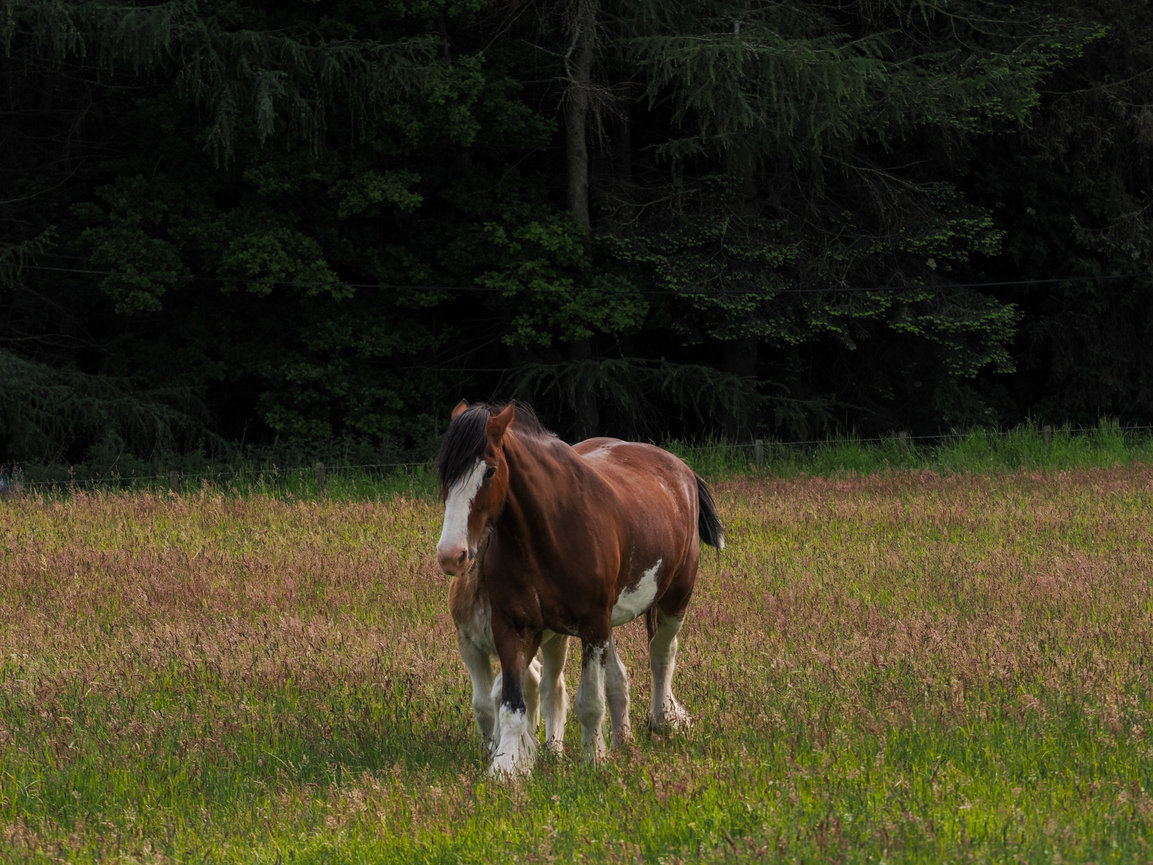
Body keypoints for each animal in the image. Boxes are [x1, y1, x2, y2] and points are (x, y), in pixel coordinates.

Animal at [435, 400, 725, 777]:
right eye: (443, 473)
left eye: (489, 471)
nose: (451, 555)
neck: (548, 534)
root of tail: (681, 468)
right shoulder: (513, 626)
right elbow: (511, 703)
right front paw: (508, 766)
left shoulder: (592, 625)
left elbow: (589, 701)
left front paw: (593, 761)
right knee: (618, 678)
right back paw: (622, 739)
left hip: (674, 598)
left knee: (662, 653)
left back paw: (664, 718)